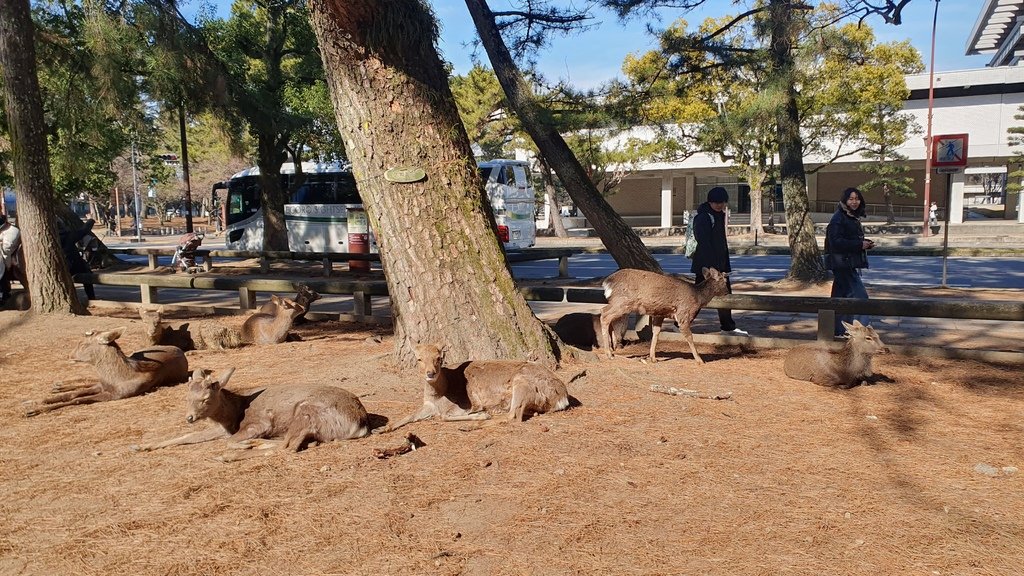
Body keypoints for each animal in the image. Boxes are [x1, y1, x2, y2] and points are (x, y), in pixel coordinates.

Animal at [25, 327, 190, 416]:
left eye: (83, 344)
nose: (69, 356)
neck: (118, 379)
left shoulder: (115, 395)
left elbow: (78, 399)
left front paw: (33, 410)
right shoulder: (103, 385)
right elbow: (73, 394)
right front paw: (35, 401)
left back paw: (57, 386)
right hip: (137, 353)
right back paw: (57, 385)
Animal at [132, 364, 370, 450]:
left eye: (206, 398)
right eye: (186, 396)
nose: (189, 418)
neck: (233, 415)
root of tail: (359, 425)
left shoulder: (259, 423)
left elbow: (230, 441)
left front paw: (245, 443)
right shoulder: (223, 428)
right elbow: (186, 437)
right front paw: (141, 446)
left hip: (307, 412)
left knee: (288, 446)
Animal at [387, 340, 573, 430]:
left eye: (438, 358)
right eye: (419, 359)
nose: (430, 373)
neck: (439, 394)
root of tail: (562, 396)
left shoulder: (464, 404)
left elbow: (443, 416)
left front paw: (479, 415)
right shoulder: (428, 404)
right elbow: (411, 415)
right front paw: (384, 428)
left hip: (522, 382)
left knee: (513, 416)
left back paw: (473, 425)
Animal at [598, 266, 733, 362]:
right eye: (724, 280)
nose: (727, 292)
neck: (697, 297)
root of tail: (606, 283)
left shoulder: (659, 314)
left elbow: (656, 333)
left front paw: (653, 358)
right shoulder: (683, 313)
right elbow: (689, 336)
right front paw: (699, 360)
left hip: (619, 303)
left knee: (606, 314)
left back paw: (612, 350)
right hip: (623, 302)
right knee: (604, 314)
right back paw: (609, 353)